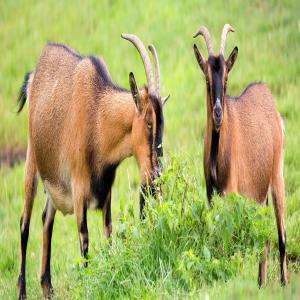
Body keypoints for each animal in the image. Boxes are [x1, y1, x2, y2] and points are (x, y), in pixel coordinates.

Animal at [17, 34, 169, 298]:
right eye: (149, 123)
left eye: (162, 124)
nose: (155, 176)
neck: (98, 118)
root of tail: (33, 78)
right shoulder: (79, 190)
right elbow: (84, 238)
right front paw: (89, 284)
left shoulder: (106, 190)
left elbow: (108, 235)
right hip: (32, 162)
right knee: (24, 224)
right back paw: (22, 291)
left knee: (46, 219)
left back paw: (48, 288)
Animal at [193, 24, 288, 288]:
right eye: (206, 79)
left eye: (226, 78)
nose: (218, 114)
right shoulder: (211, 193)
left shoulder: (230, 192)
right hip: (260, 193)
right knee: (264, 237)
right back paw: (260, 282)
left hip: (277, 176)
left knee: (281, 234)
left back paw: (284, 283)